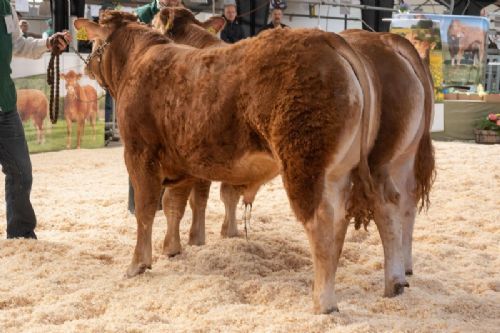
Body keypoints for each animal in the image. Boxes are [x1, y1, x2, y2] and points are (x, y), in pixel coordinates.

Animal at [75, 9, 378, 312]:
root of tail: (324, 38)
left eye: (92, 42)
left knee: (321, 223)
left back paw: (323, 302)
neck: (138, 60)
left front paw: (138, 264)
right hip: (339, 171)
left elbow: (146, 209)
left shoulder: (139, 154)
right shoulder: (181, 161)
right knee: (340, 223)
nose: (86, 66)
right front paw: (172, 248)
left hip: (305, 163)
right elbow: (174, 205)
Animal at [159, 7, 434, 296]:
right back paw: (405, 268)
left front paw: (192, 240)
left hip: (372, 162)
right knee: (406, 200)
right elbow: (228, 194)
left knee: (380, 206)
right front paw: (228, 232)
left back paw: (392, 281)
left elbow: (193, 198)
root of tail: (389, 40)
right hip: (403, 158)